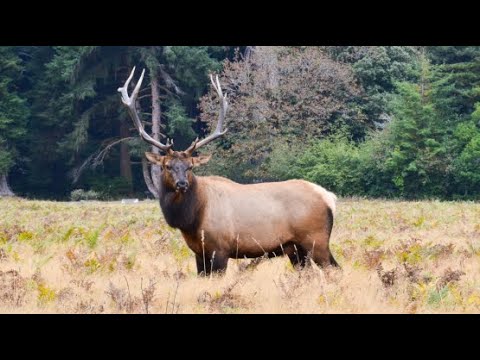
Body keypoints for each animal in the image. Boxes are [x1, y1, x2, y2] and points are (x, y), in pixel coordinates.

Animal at [118, 67, 340, 276]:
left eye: (190, 166)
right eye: (167, 166)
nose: (182, 183)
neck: (192, 219)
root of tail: (329, 197)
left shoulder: (220, 249)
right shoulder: (199, 252)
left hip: (316, 239)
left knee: (334, 270)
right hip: (295, 249)